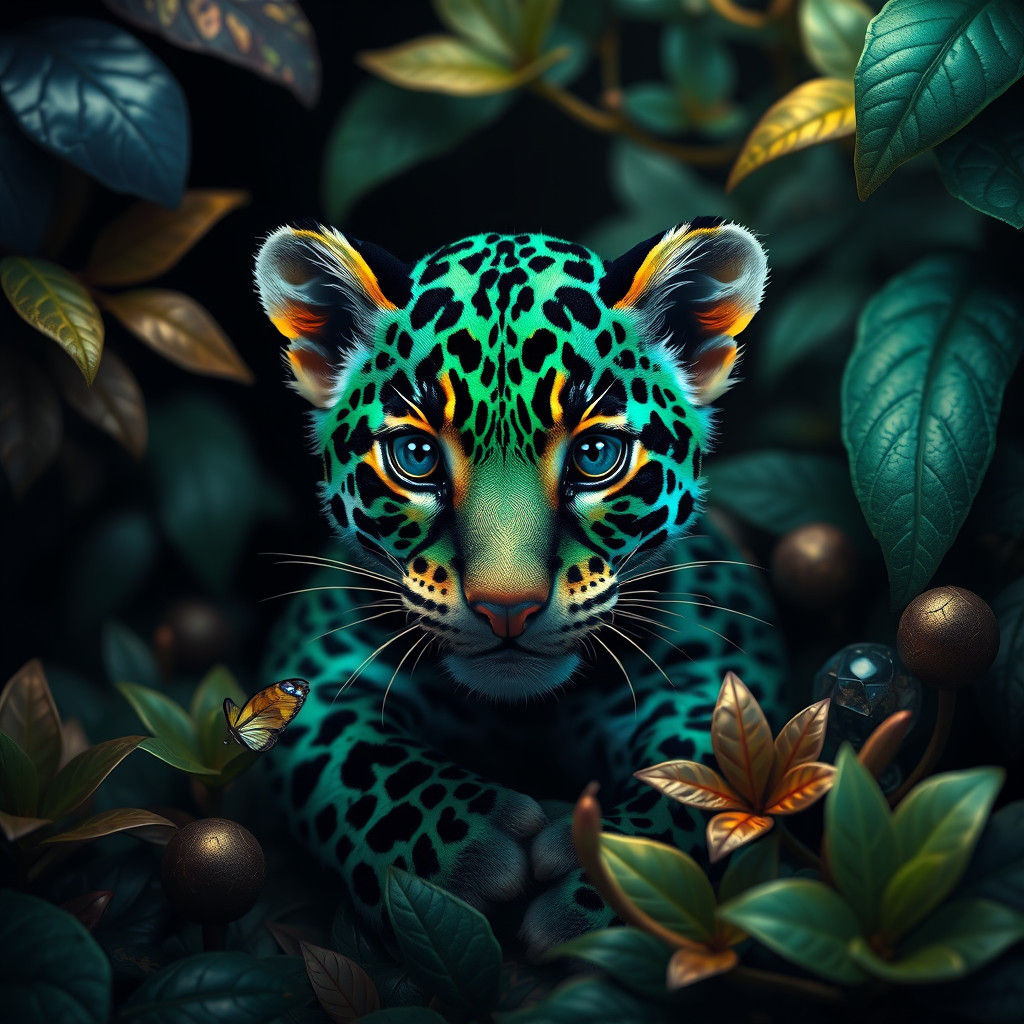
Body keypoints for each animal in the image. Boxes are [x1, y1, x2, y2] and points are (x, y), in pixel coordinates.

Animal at [254, 220, 786, 955]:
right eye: (416, 457)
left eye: (595, 457)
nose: (507, 609)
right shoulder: (318, 671)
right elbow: (358, 762)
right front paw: (468, 850)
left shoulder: (711, 666)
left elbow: (708, 783)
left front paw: (607, 884)